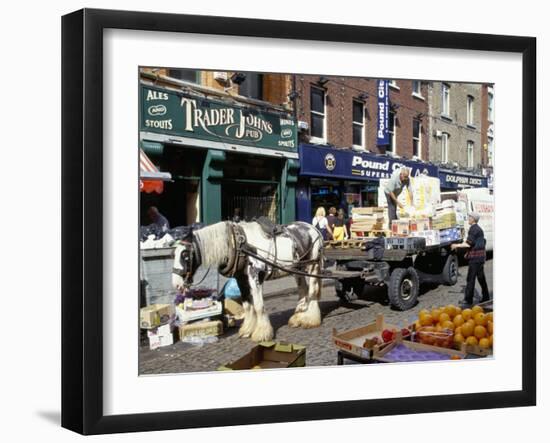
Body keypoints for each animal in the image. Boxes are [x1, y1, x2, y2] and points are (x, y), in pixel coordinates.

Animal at [172, 222, 326, 344]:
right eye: (174, 254)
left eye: (185, 255)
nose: (176, 283)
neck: (239, 244)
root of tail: (313, 228)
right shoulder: (241, 280)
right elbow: (247, 305)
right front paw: (247, 329)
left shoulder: (254, 277)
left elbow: (258, 306)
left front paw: (262, 333)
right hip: (297, 269)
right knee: (303, 291)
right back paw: (298, 317)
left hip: (312, 266)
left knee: (312, 291)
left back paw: (310, 319)